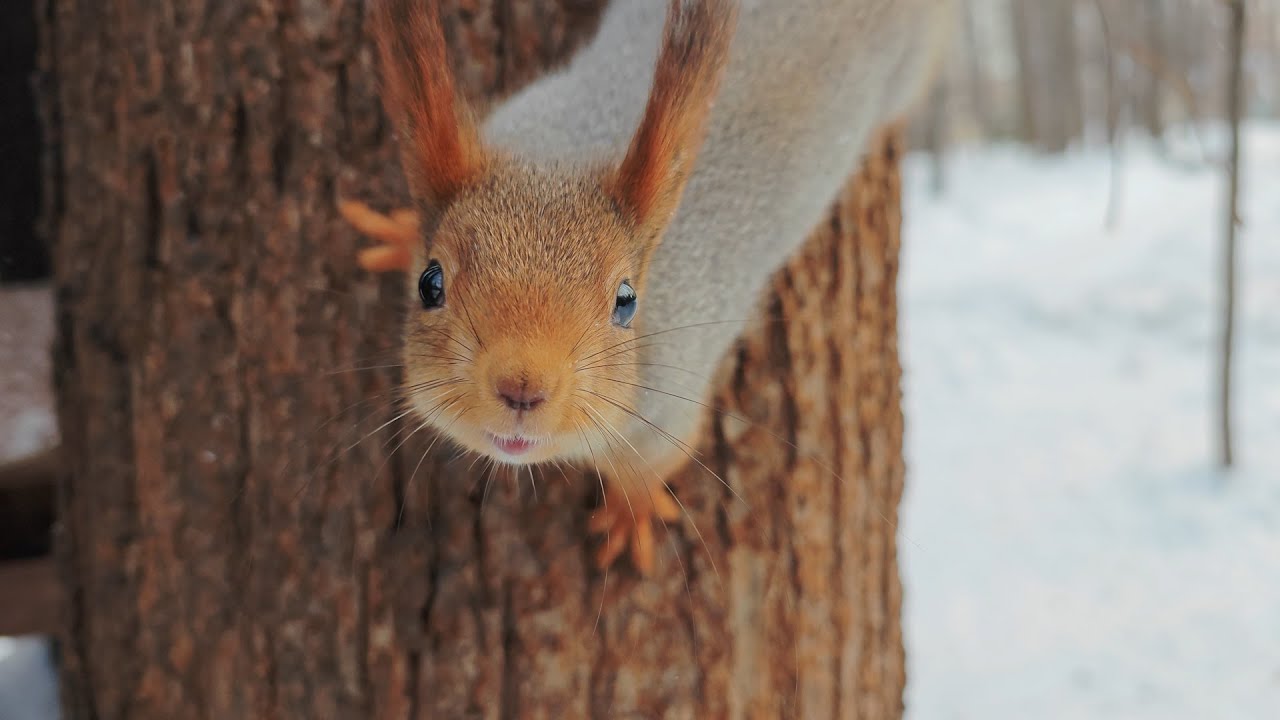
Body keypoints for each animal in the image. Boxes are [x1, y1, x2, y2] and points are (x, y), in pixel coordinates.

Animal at [338, 0, 955, 575]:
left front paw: (629, 515)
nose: (522, 389)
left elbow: (652, 467)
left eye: (626, 302)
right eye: (430, 283)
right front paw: (398, 234)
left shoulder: (667, 413)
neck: (560, 159)